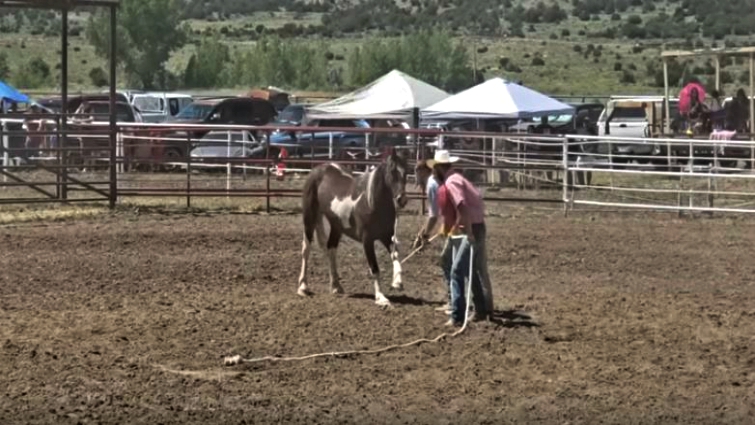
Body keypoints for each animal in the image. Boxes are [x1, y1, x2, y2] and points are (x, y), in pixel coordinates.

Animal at [297, 149, 409, 306]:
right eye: (392, 171)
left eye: (406, 172)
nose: (401, 199)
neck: (370, 202)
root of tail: (318, 169)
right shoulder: (367, 240)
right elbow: (374, 268)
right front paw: (381, 298)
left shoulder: (387, 236)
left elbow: (396, 255)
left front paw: (397, 282)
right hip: (309, 218)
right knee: (306, 249)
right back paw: (303, 287)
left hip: (336, 226)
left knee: (331, 248)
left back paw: (336, 286)